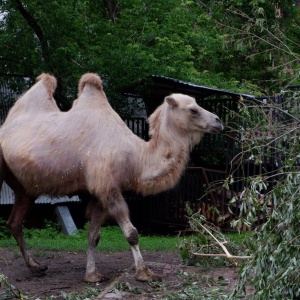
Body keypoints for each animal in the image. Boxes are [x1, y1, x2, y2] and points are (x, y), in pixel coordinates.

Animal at [0, 72, 223, 282]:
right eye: (193, 109)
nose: (219, 122)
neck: (136, 158)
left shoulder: (98, 193)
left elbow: (93, 236)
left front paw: (92, 275)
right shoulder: (108, 188)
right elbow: (132, 233)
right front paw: (144, 273)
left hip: (25, 188)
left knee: (14, 222)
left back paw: (37, 266)